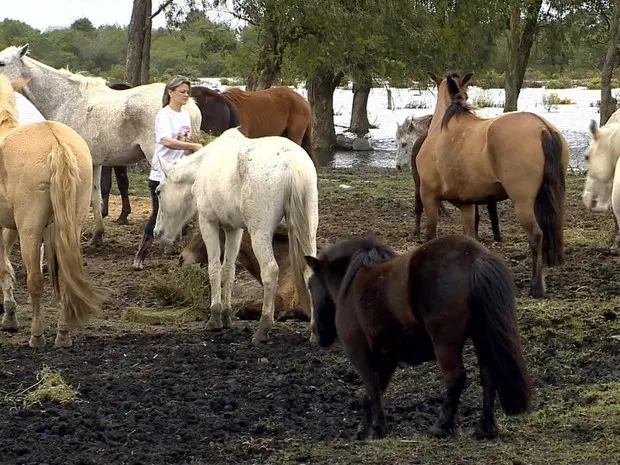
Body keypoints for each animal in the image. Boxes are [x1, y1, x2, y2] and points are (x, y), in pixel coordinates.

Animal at [0, 44, 202, 246]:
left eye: (2, 63)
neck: (64, 100)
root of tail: (187, 105)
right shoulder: (95, 162)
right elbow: (96, 196)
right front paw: (97, 234)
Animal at [0, 74, 103, 346]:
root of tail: (57, 144)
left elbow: (4, 266)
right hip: (70, 227)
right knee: (67, 278)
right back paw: (63, 334)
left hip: (31, 231)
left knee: (34, 279)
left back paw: (37, 336)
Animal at [154, 127, 320, 344]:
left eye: (158, 191)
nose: (157, 232)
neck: (203, 167)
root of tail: (293, 164)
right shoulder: (233, 230)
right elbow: (229, 270)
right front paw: (226, 316)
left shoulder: (209, 223)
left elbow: (214, 268)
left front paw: (215, 318)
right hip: (308, 229)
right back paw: (315, 332)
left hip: (260, 233)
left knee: (269, 271)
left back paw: (263, 330)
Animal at [416, 72, 568, 298]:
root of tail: (542, 127)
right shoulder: (467, 205)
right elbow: (469, 238)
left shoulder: (428, 195)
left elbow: (430, 235)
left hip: (523, 203)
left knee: (536, 236)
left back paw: (536, 286)